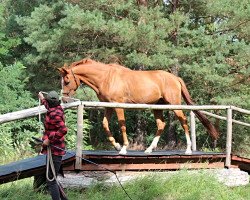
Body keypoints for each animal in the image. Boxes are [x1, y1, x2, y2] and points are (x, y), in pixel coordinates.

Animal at [58, 57, 219, 155]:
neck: (106, 78)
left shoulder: (118, 106)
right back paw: (149, 149)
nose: (64, 99)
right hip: (157, 107)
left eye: (66, 80)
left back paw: (188, 150)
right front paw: (116, 145)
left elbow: (122, 126)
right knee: (161, 124)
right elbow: (105, 124)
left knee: (183, 122)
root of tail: (175, 78)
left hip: (174, 105)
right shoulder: (108, 106)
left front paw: (123, 148)